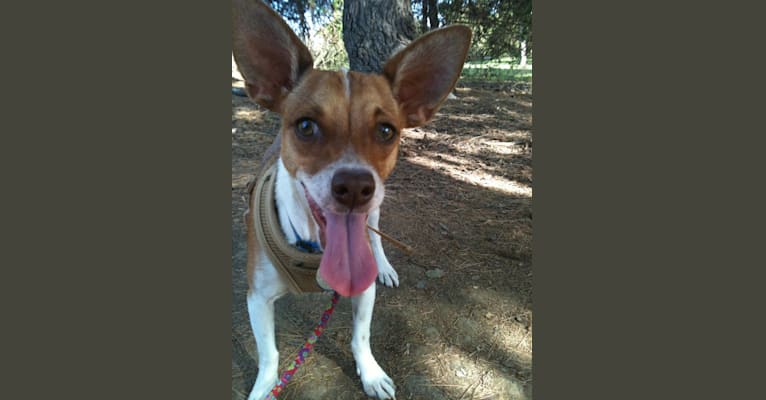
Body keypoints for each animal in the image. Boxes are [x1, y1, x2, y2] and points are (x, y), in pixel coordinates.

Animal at [234, 1, 472, 398]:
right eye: (305, 126)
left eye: (386, 130)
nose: (356, 186)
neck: (314, 249)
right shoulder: (257, 298)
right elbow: (269, 356)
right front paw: (264, 388)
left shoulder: (362, 287)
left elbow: (361, 336)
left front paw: (371, 374)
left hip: (374, 214)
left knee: (375, 240)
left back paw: (385, 267)